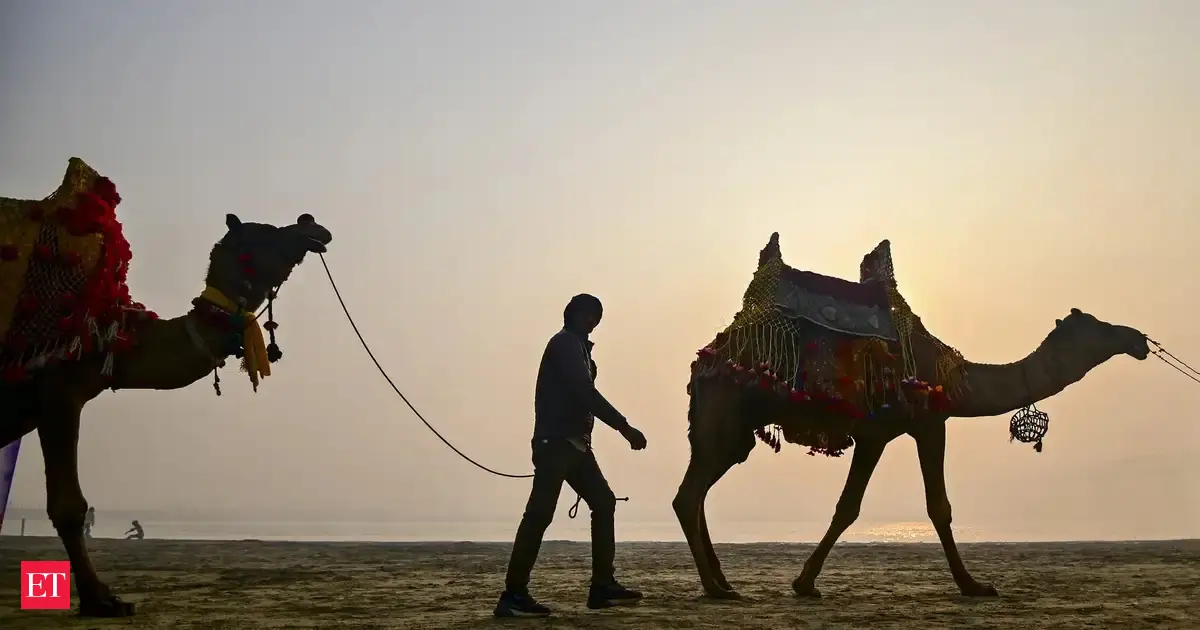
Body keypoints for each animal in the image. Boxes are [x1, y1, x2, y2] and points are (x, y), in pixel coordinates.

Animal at [673, 233, 1149, 599]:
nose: (1138, 338)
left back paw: (723, 583)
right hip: (725, 407)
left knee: (702, 490)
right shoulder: (906, 426)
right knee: (688, 496)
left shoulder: (903, 428)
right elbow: (903, 507)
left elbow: (882, 505)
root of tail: (704, 356)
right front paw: (974, 586)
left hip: (731, 425)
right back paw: (716, 589)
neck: (955, 377)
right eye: (1095, 325)